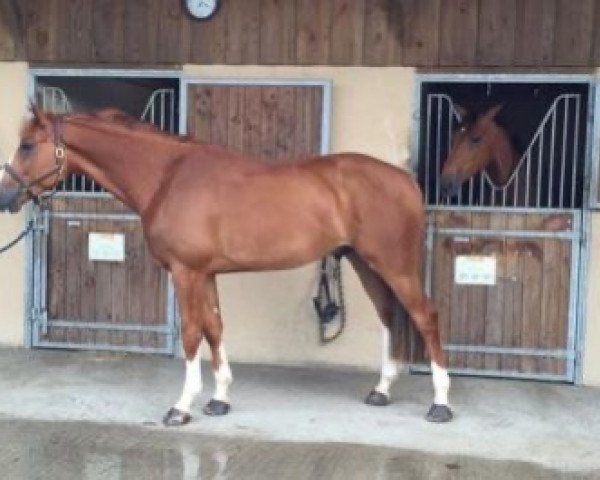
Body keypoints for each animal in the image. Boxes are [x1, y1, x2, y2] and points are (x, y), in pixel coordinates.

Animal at [0, 108, 450, 424]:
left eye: (27, 146)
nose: (5, 197)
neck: (166, 177)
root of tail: (406, 181)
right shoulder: (207, 274)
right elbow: (214, 328)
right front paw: (219, 400)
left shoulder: (185, 273)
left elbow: (191, 334)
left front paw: (182, 407)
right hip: (366, 264)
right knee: (390, 316)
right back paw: (382, 391)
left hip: (394, 266)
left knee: (426, 316)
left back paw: (440, 404)